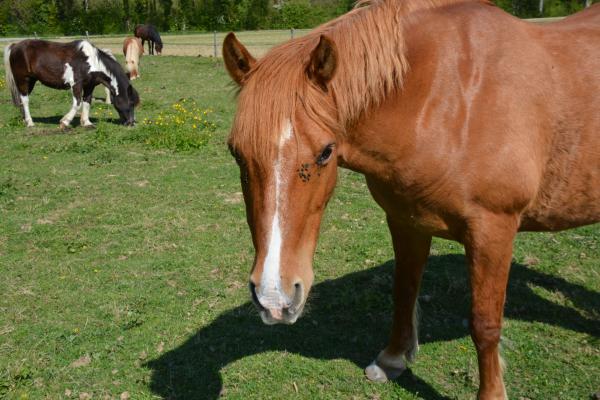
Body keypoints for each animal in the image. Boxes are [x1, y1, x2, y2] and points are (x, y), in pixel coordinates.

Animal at [4, 39, 139, 128]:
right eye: (131, 103)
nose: (131, 123)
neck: (90, 61)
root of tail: (15, 46)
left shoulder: (89, 86)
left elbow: (87, 102)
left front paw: (86, 123)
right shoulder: (76, 85)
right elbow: (77, 103)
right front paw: (65, 122)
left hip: (31, 81)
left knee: (21, 100)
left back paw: (25, 120)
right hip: (23, 80)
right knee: (25, 100)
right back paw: (30, 123)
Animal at [222, 1, 600, 398]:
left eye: (326, 152)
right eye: (236, 152)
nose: (274, 299)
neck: (450, 98)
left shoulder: (493, 232)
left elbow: (485, 323)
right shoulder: (406, 221)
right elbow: (403, 291)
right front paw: (393, 359)